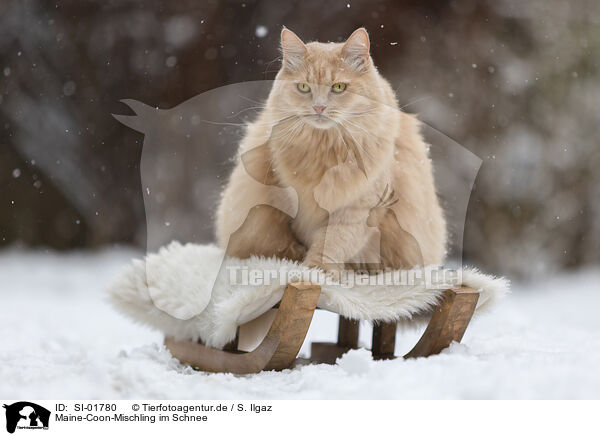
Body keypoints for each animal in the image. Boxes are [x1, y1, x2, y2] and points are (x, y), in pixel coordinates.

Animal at [217, 27, 446, 276]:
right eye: (304, 87)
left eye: (338, 88)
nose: (319, 107)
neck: (326, 148)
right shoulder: (291, 201)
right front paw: (306, 268)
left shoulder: (359, 207)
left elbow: (333, 242)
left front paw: (319, 272)